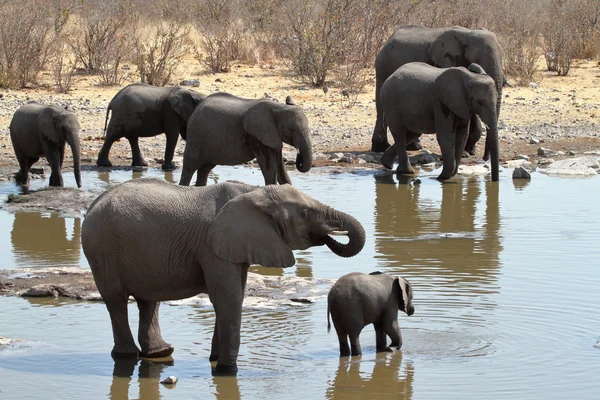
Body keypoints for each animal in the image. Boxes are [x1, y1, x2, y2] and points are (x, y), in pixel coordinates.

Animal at [81, 178, 366, 376]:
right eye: (305, 214)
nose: (330, 235)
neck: (254, 191)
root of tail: (93, 205)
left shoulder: (236, 245)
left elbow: (233, 296)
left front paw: (215, 361)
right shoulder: (212, 247)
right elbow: (227, 298)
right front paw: (227, 372)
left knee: (147, 301)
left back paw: (161, 352)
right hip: (102, 248)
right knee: (116, 301)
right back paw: (127, 356)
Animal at [179, 93, 314, 187]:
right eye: (290, 129)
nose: (298, 160)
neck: (279, 107)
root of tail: (196, 108)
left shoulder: (272, 136)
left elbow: (281, 170)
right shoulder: (255, 136)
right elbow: (269, 169)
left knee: (204, 169)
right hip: (195, 138)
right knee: (189, 168)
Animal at [370, 24, 506, 154]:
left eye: (502, 57)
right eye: (477, 59)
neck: (469, 32)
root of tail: (388, 40)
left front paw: (469, 150)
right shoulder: (448, 62)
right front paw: (465, 152)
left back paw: (413, 147)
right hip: (384, 65)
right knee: (381, 106)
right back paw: (381, 148)